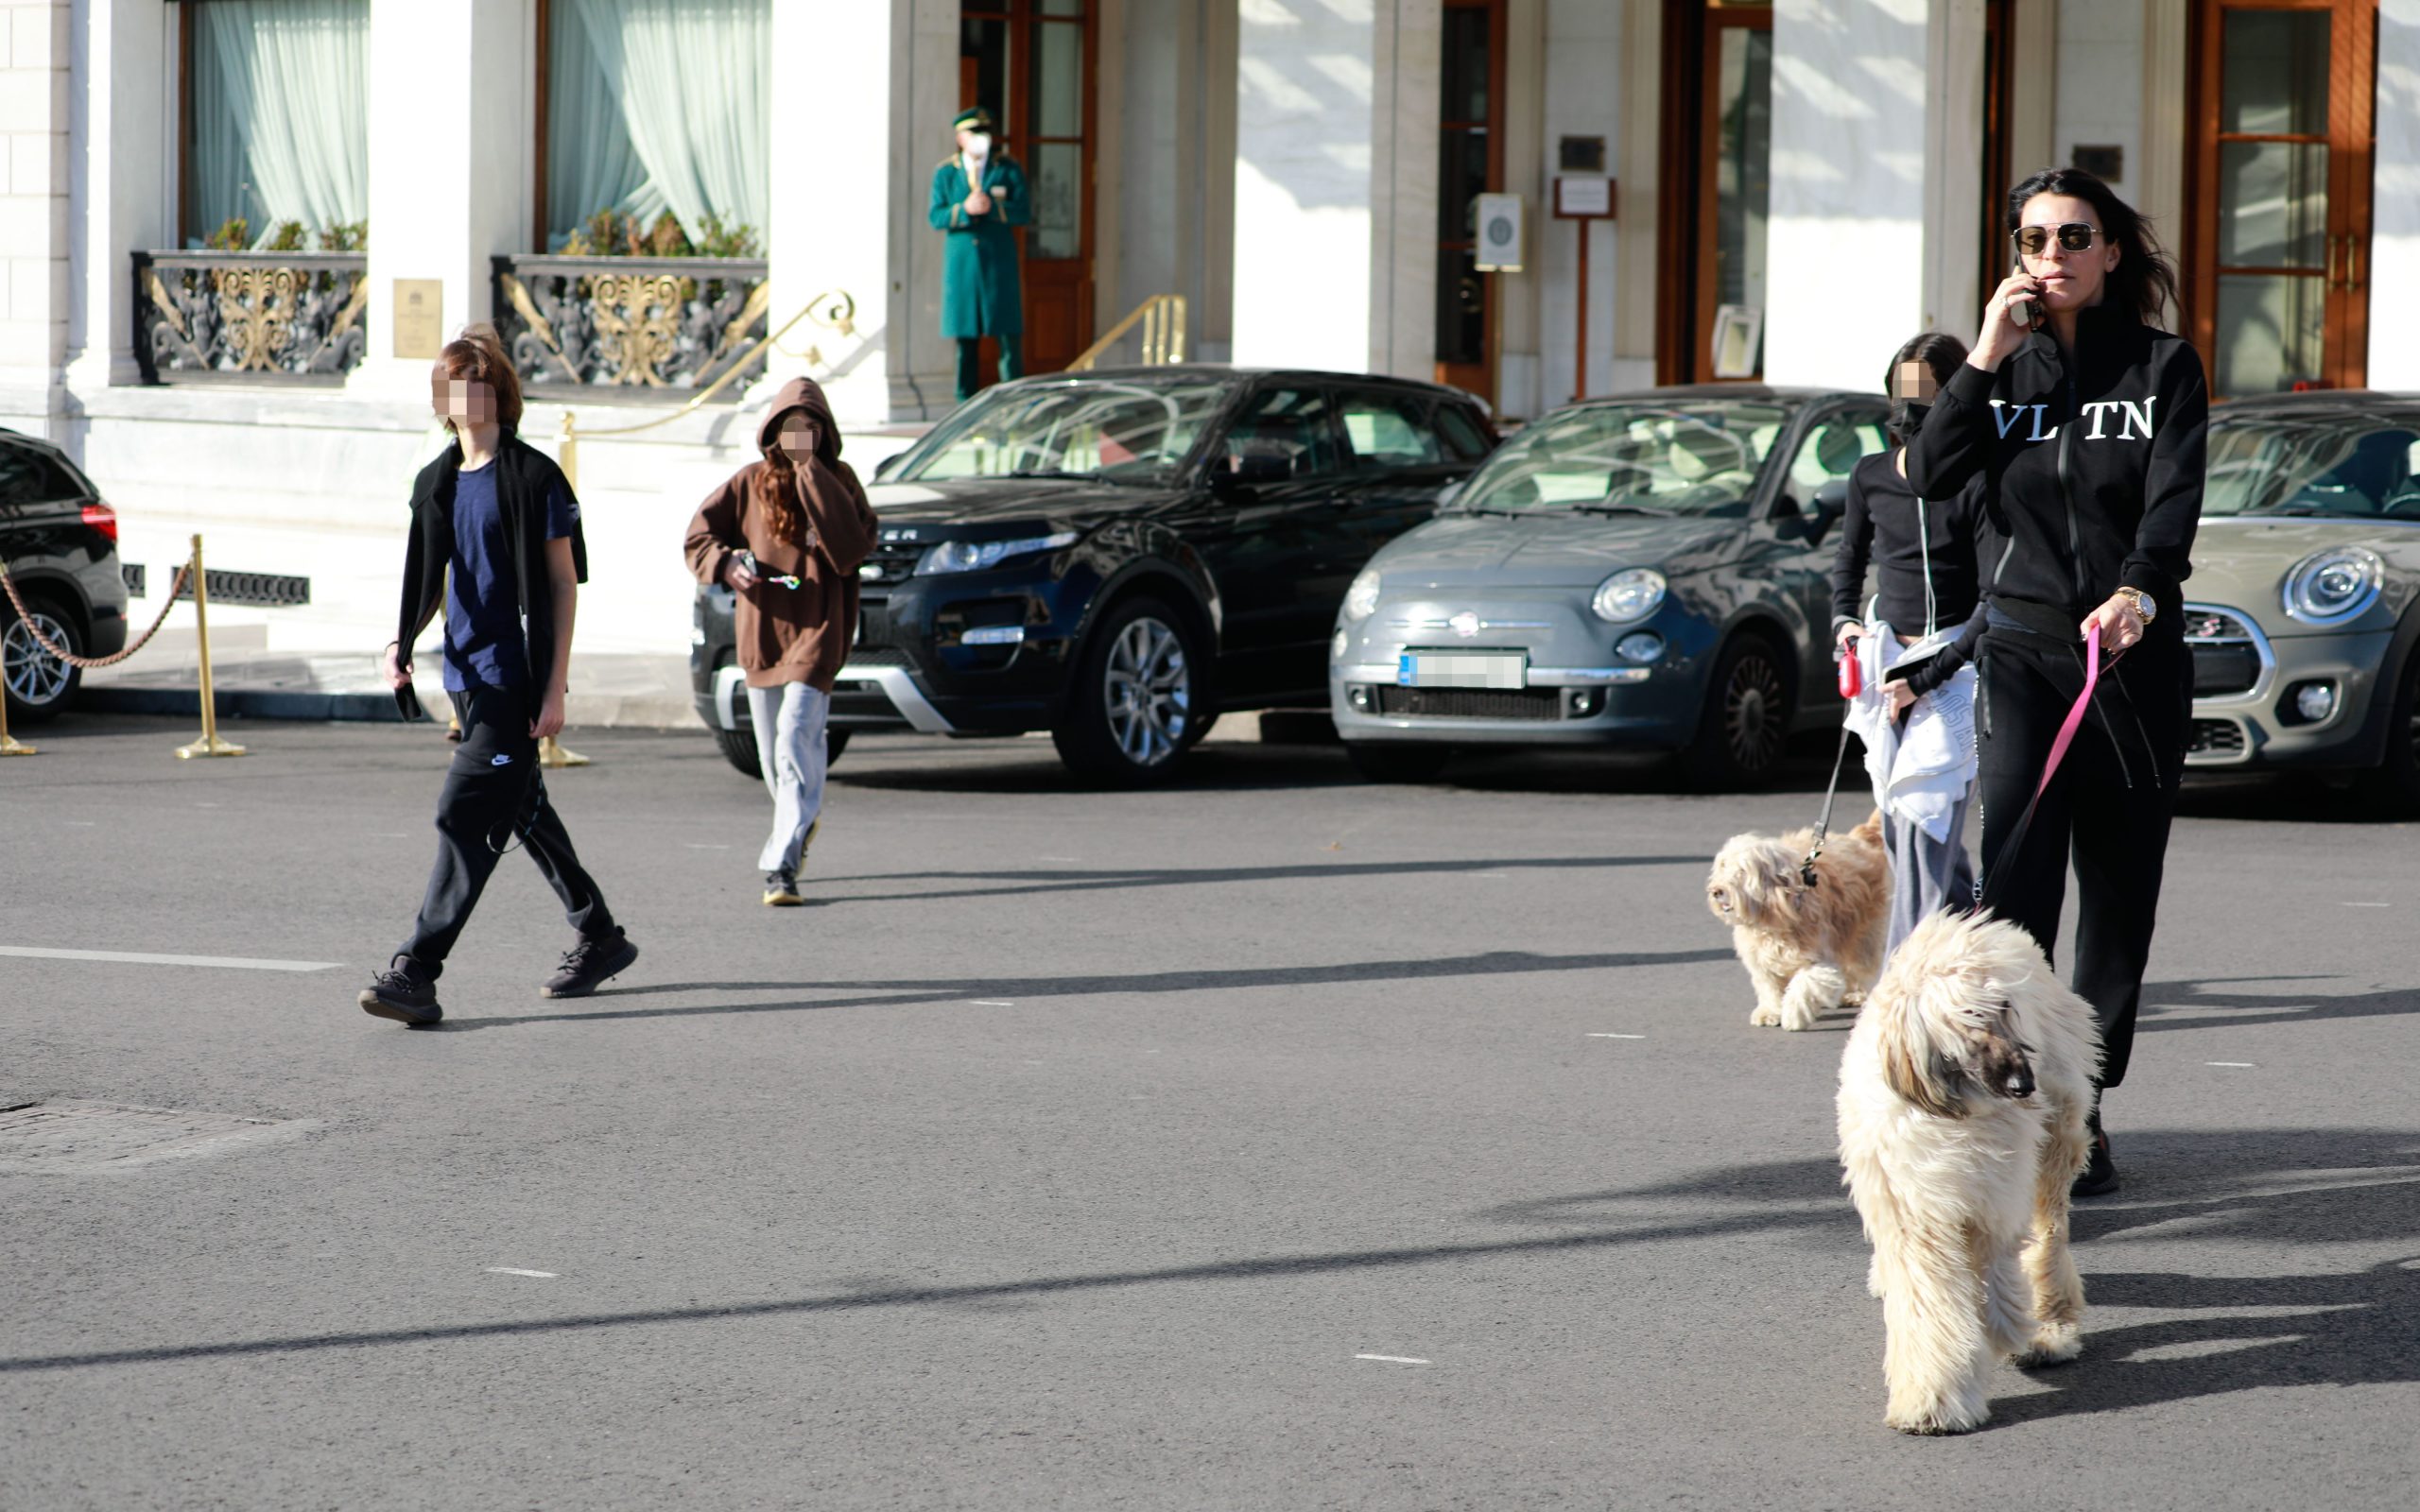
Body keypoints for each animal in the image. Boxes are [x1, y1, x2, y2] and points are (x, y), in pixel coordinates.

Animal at [1703, 808, 1887, 1030]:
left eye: (1742, 870)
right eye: (1723, 865)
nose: (1716, 891)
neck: (1773, 915)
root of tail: (1858, 840)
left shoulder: (1820, 959)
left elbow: (1805, 983)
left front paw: (1793, 1015)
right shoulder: (1760, 959)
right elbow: (1768, 985)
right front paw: (1769, 1012)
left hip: (1862, 934)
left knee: (1862, 964)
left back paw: (1860, 995)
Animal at [1829, 900, 2100, 1432]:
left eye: (2006, 1010)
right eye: (1971, 1019)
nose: (2023, 1086)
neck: (1954, 1110)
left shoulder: (1990, 1198)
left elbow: (1997, 1268)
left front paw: (2002, 1329)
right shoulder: (1918, 1209)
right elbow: (1929, 1295)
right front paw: (1933, 1398)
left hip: (2055, 1134)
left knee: (2049, 1232)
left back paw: (2051, 1326)